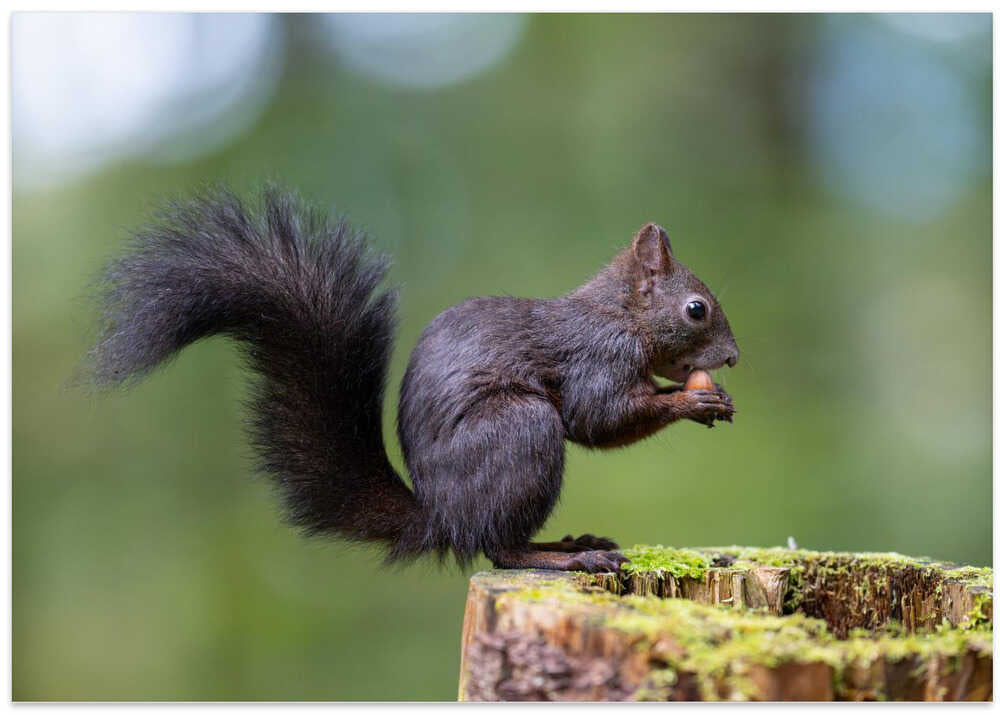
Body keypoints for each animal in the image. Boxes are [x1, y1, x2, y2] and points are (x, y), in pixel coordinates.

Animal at [89, 185, 739, 574]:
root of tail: (440, 516)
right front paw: (691, 403)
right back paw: (562, 557)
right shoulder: (597, 356)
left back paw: (572, 544)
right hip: (520, 433)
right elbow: (598, 420)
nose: (732, 358)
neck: (620, 314)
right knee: (498, 548)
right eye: (696, 309)